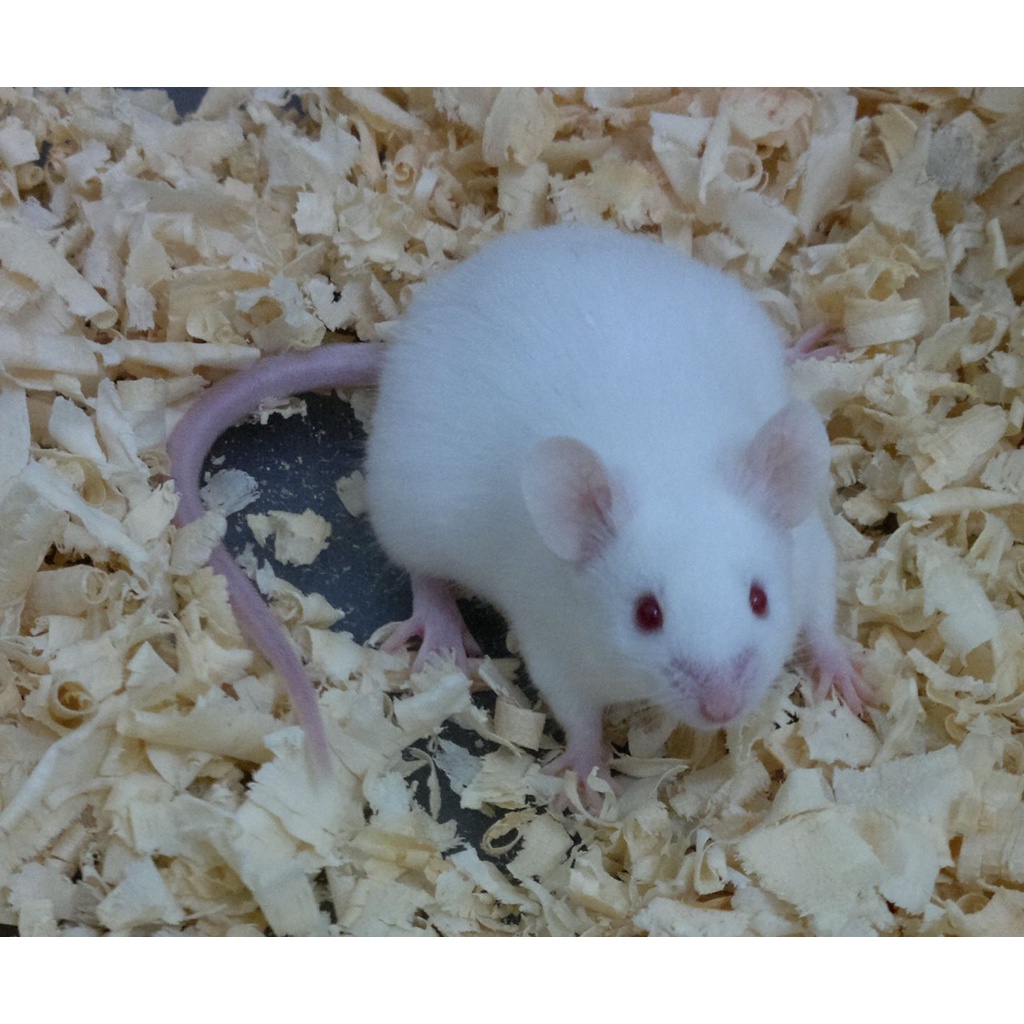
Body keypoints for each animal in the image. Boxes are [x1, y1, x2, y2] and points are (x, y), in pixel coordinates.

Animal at [168, 224, 868, 789]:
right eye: (647, 615)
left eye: (760, 599)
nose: (724, 710)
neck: (663, 456)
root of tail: (404, 345)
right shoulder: (552, 641)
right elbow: (576, 711)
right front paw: (583, 773)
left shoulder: (810, 554)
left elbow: (823, 616)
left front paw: (851, 681)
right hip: (409, 506)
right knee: (422, 570)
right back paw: (441, 634)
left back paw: (807, 351)